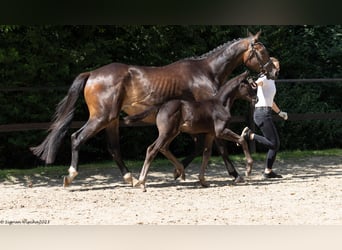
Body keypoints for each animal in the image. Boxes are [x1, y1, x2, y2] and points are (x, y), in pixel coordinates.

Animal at [125, 71, 256, 190]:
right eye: (248, 85)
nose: (256, 98)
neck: (220, 105)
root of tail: (161, 106)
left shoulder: (211, 134)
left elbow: (207, 154)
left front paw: (203, 181)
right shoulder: (221, 131)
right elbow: (241, 140)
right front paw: (248, 169)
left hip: (173, 132)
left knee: (163, 148)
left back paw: (180, 171)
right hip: (166, 133)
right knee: (152, 149)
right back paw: (142, 182)